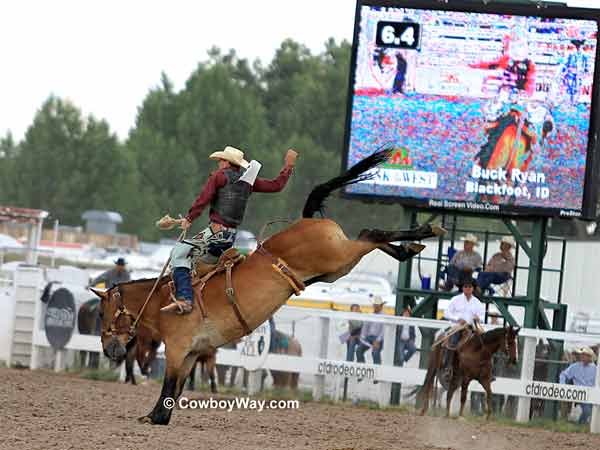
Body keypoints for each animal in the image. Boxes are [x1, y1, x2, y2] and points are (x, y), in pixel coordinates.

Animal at [92, 149, 446, 426]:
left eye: (102, 312)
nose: (109, 350)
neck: (163, 299)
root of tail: (307, 221)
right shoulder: (193, 353)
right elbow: (175, 390)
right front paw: (158, 415)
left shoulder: (178, 349)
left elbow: (168, 386)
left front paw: (152, 417)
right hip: (337, 267)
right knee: (369, 237)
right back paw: (411, 246)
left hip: (338, 255)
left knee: (370, 232)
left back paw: (427, 230)